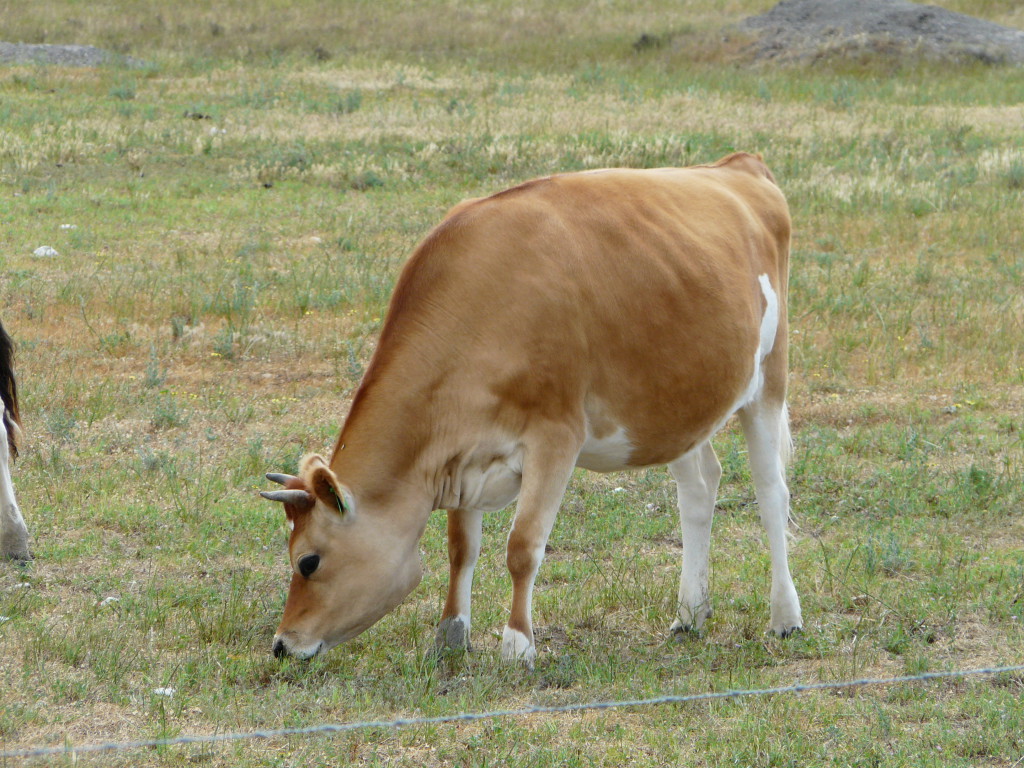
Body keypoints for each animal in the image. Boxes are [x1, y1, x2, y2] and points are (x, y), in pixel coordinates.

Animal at [261, 152, 801, 666]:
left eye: (308, 561)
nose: (283, 645)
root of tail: (736, 166)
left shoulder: (555, 435)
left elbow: (522, 547)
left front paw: (518, 646)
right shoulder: (464, 453)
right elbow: (461, 548)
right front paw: (450, 637)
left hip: (769, 379)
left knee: (772, 493)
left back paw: (785, 617)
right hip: (677, 403)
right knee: (699, 487)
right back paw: (690, 614)